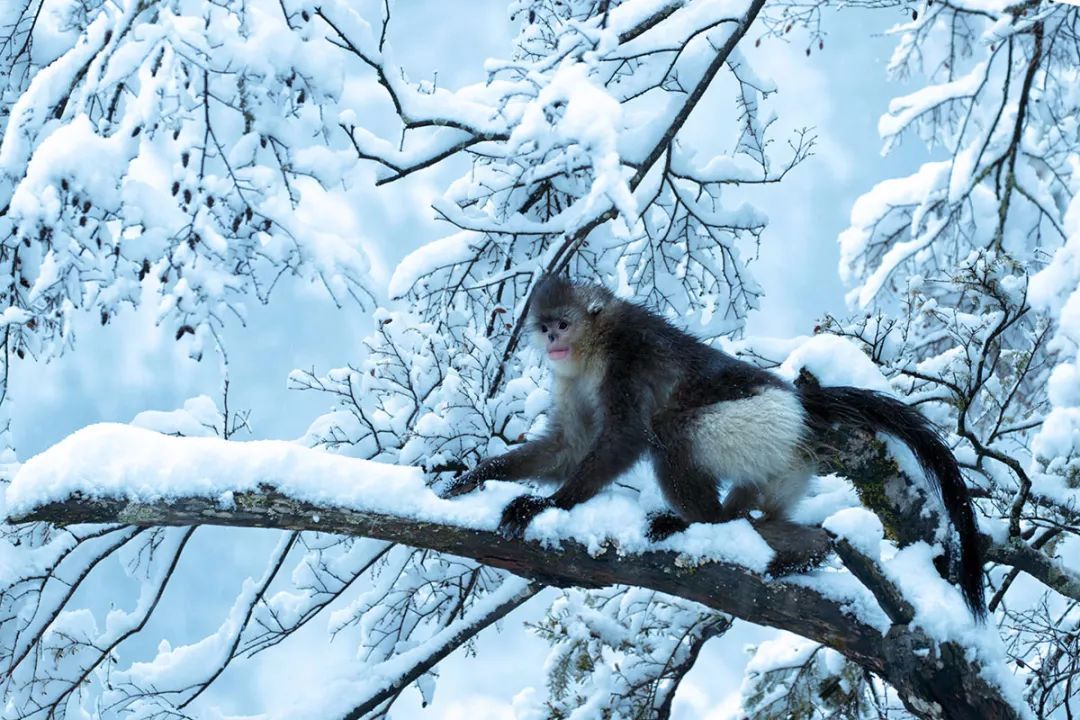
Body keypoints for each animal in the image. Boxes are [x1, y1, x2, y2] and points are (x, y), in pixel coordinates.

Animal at [440, 276, 989, 621]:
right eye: (545, 325)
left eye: (564, 323)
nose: (552, 339)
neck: (595, 344)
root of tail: (799, 405)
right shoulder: (571, 382)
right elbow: (568, 447)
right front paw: (471, 479)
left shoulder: (628, 356)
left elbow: (626, 437)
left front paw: (546, 504)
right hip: (781, 466)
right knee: (760, 518)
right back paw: (804, 548)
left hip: (761, 428)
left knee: (671, 432)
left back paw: (702, 524)